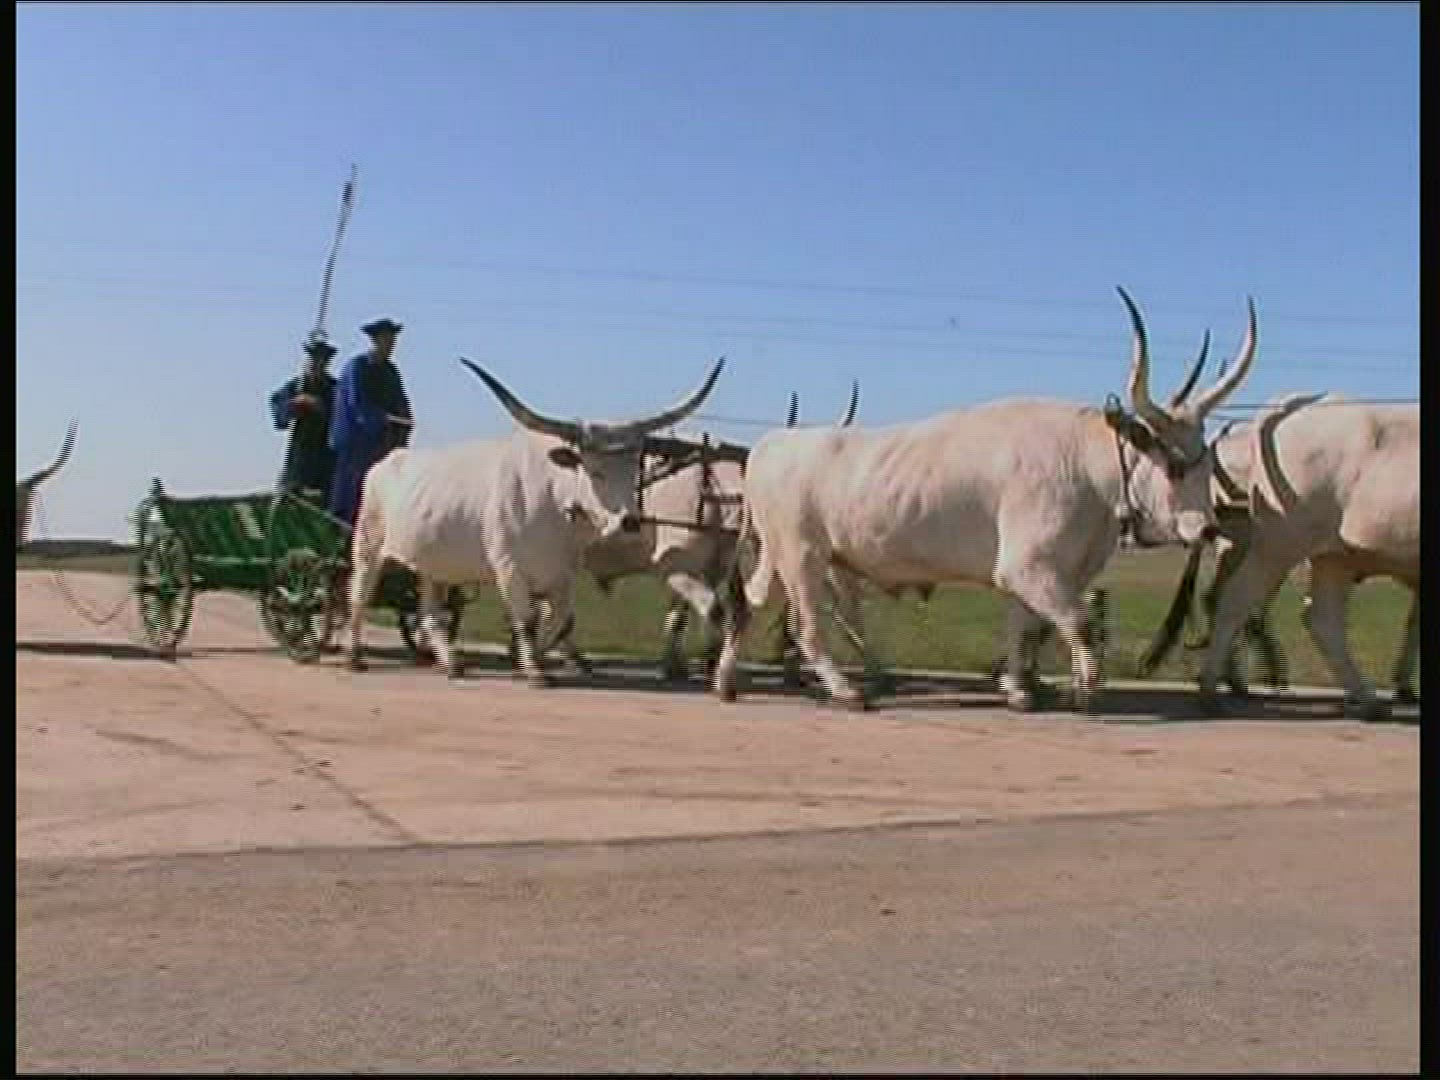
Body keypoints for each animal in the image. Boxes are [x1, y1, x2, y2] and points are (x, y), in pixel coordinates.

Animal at [343, 357, 727, 685]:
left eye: (637, 469)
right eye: (595, 470)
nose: (629, 523)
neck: (555, 501)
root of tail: (387, 461)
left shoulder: (563, 571)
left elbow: (559, 620)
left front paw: (532, 659)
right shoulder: (508, 566)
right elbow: (526, 618)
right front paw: (534, 671)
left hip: (434, 563)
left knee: (429, 612)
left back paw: (449, 662)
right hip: (368, 544)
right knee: (359, 594)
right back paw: (354, 656)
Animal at [711, 288, 1259, 712]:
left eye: (1206, 462)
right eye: (1174, 464)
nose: (1209, 529)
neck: (1083, 462)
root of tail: (771, 444)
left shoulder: (1034, 572)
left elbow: (1023, 624)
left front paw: (1018, 691)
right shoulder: (1030, 565)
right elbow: (1077, 622)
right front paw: (1085, 690)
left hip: (781, 555)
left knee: (755, 602)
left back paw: (726, 681)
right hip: (803, 556)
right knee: (806, 624)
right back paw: (845, 690)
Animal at [1194, 392, 1419, 719]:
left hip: (1334, 555)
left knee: (1322, 619)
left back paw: (1367, 699)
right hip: (1280, 543)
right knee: (1236, 600)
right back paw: (1212, 688)